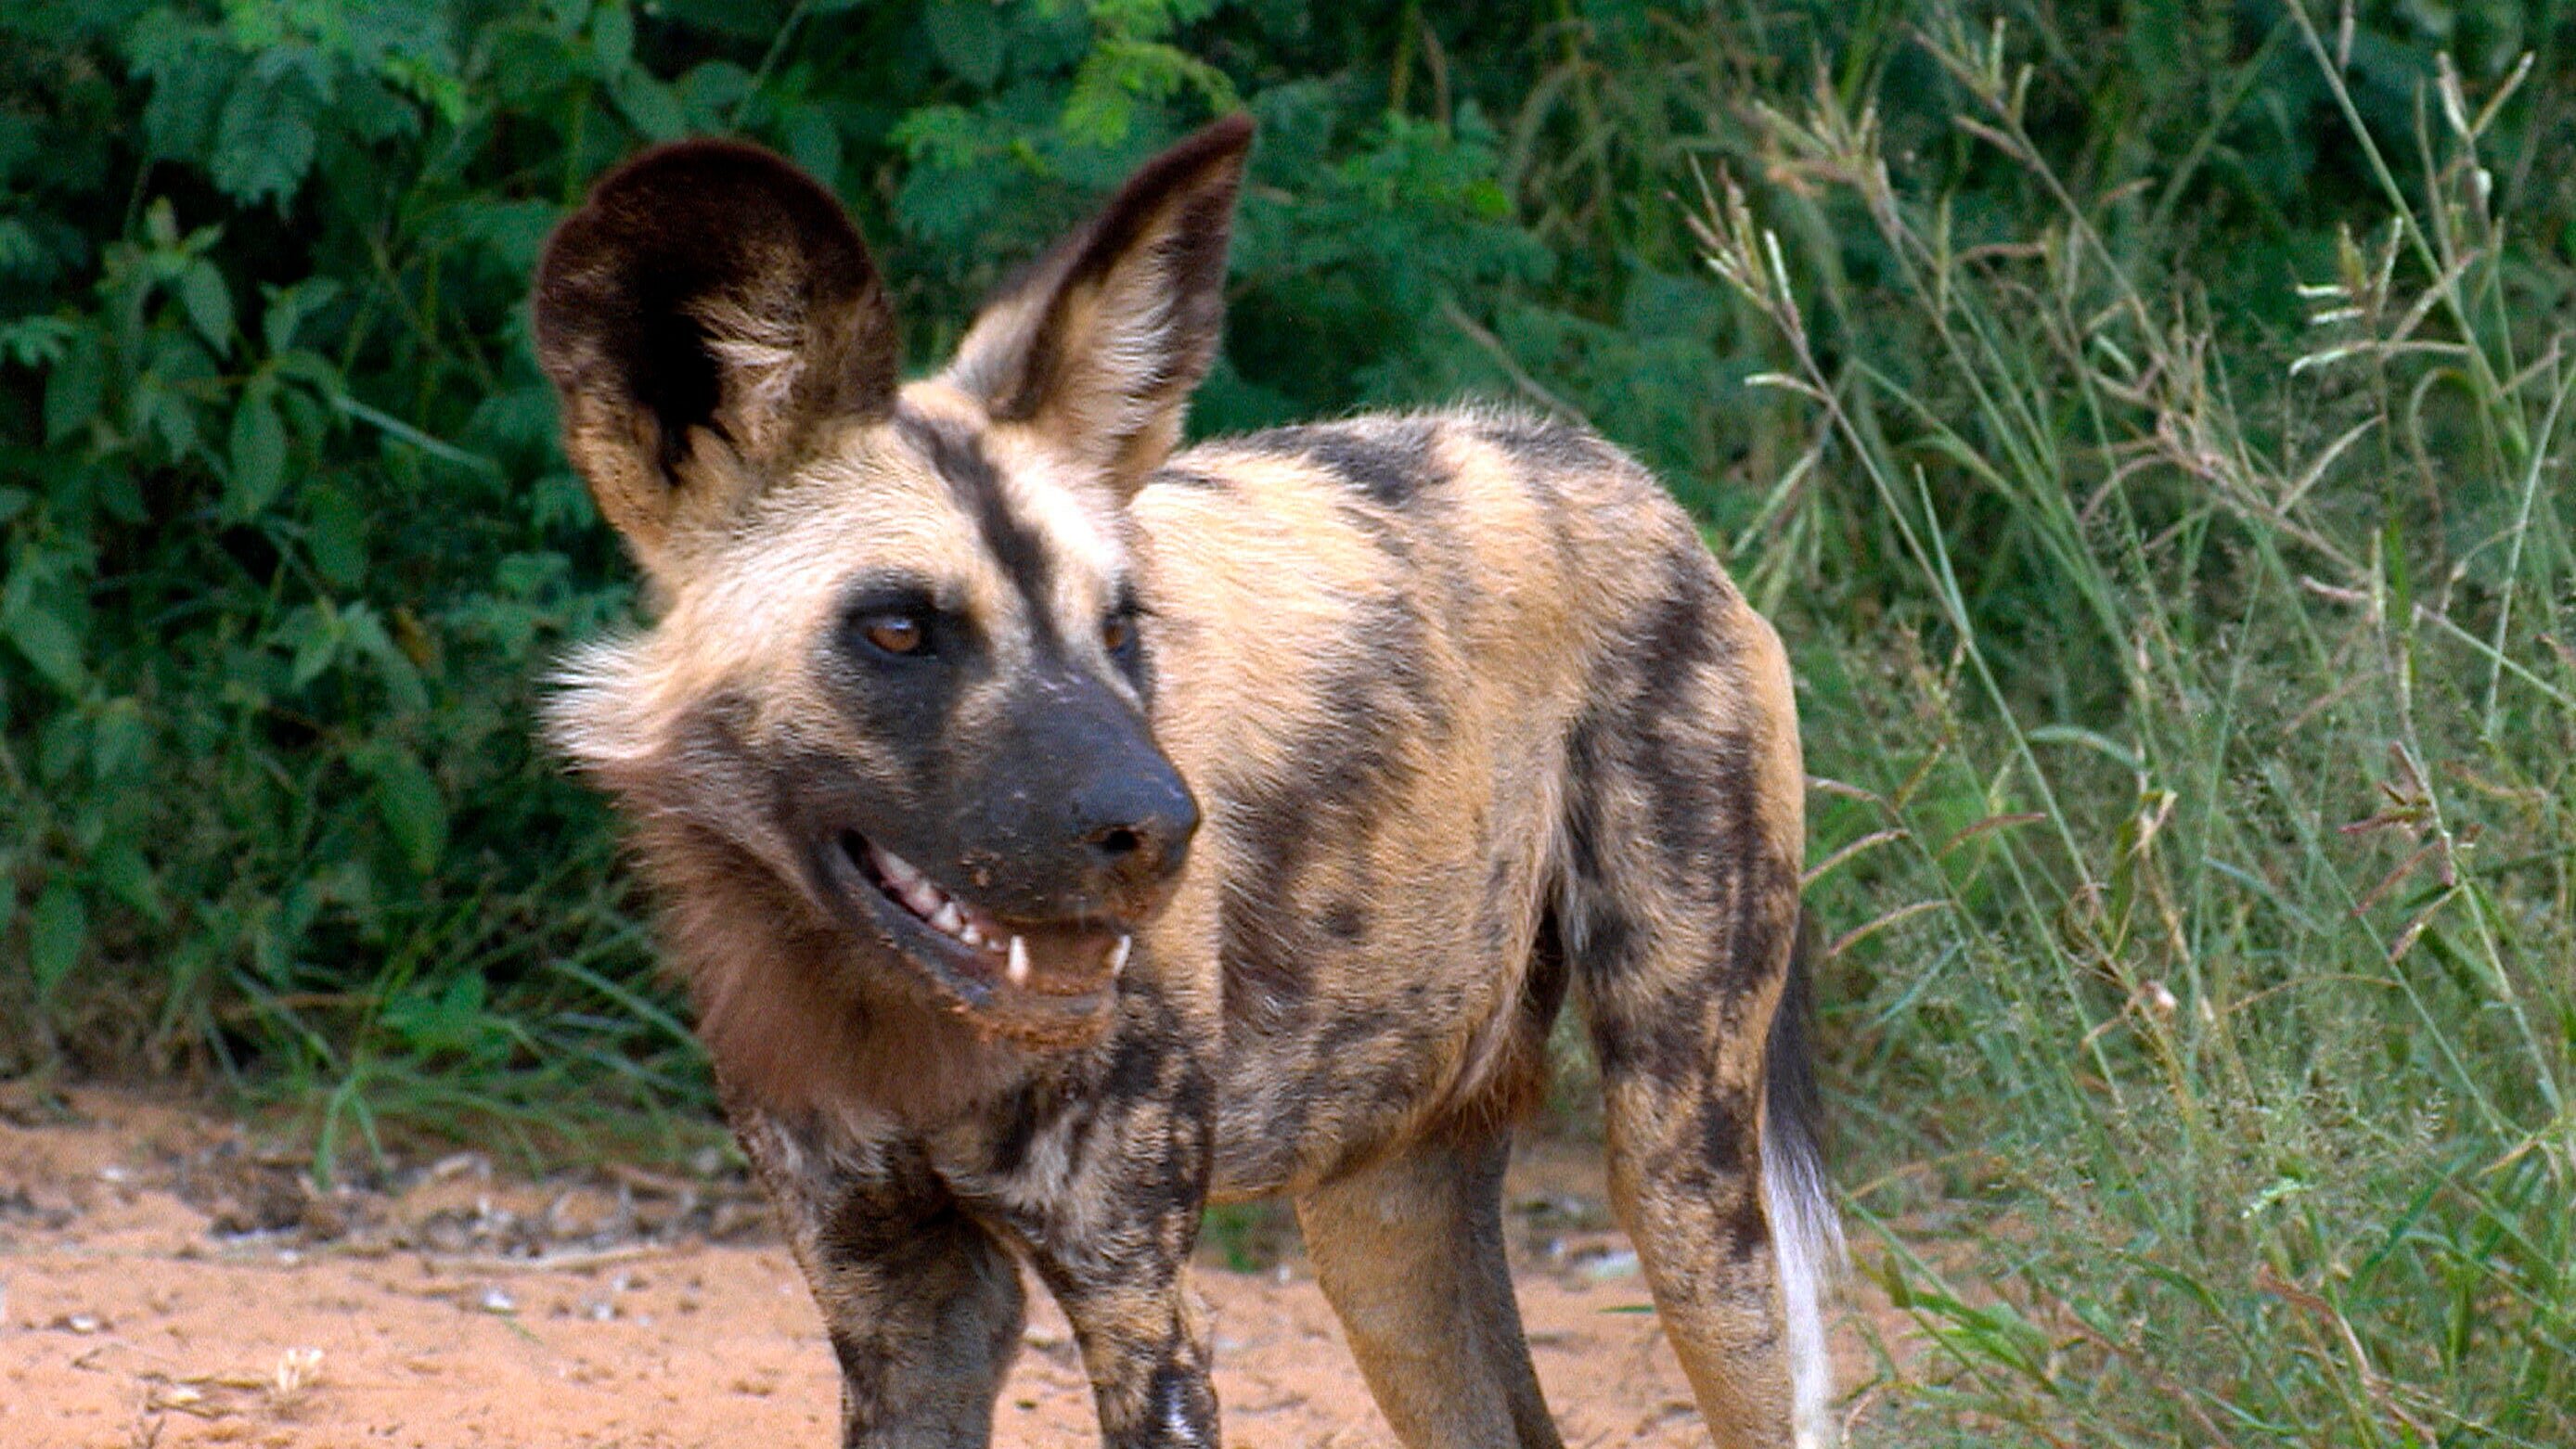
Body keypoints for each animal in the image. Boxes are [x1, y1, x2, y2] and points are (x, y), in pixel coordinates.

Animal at [533, 116, 1844, 1449]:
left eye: (1120, 626)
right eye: (899, 630)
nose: (1163, 829)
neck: (893, 1024)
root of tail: (1627, 480)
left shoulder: (1139, 1303)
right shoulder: (899, 1309)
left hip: (1684, 1188)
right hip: (1384, 1226)